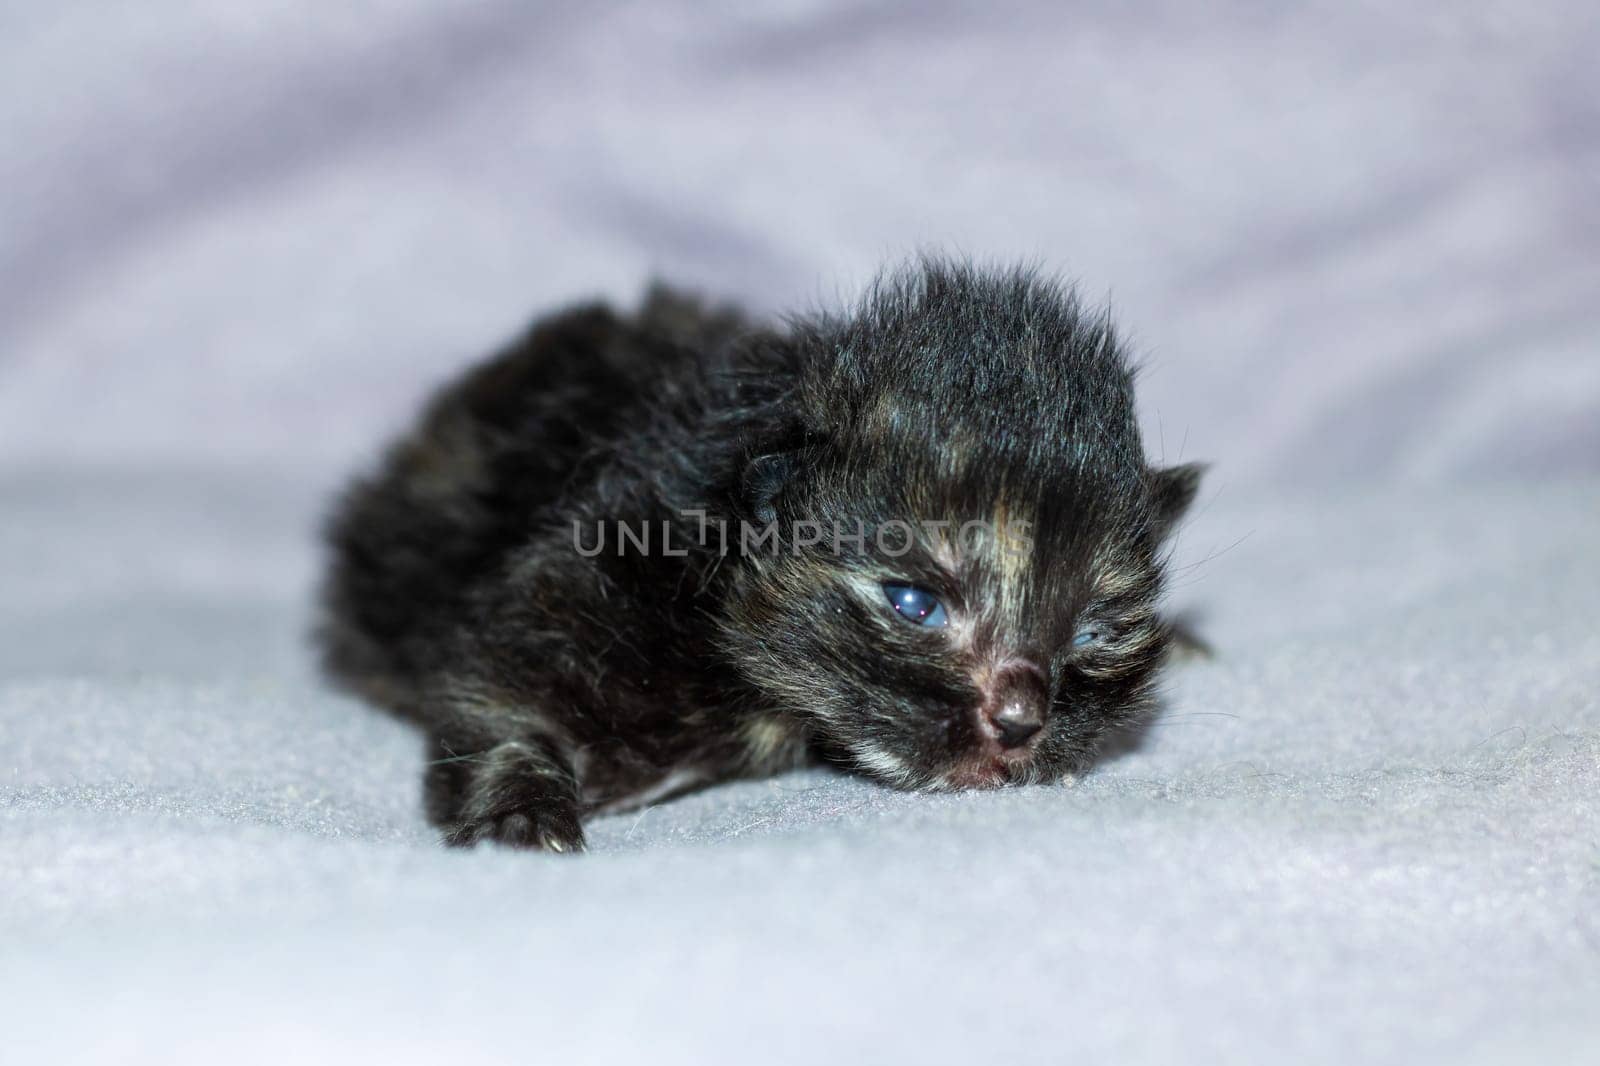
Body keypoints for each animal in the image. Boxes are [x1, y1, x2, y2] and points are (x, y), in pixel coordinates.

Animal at [321, 260, 1203, 851]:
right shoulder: (586, 569)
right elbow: (495, 692)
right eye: (914, 604)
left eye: (1092, 634)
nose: (1021, 723)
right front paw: (518, 814)